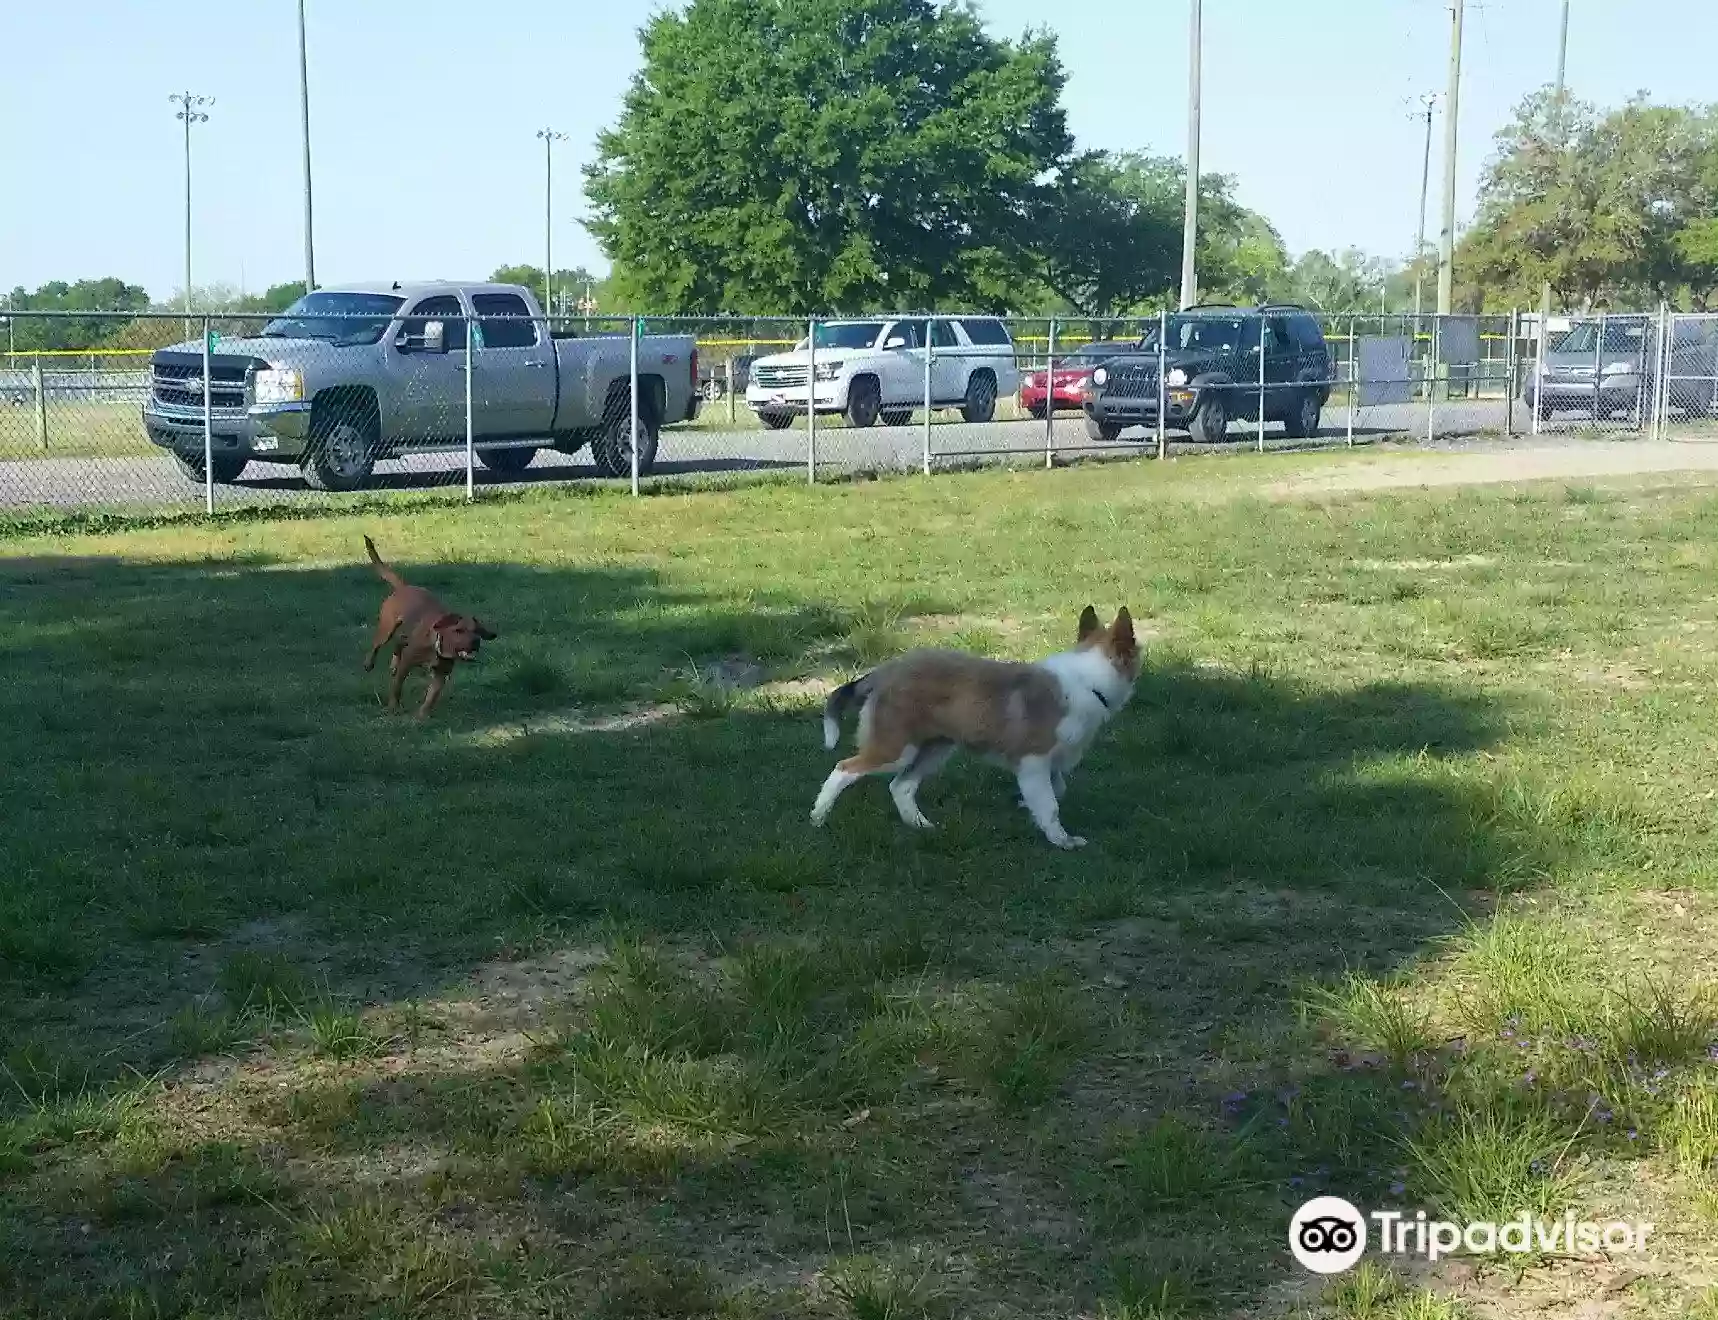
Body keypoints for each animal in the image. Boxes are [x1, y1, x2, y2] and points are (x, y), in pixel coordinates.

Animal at [360, 536, 498, 721]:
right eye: (459, 630)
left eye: (477, 632)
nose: (475, 642)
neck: (437, 647)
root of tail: (404, 587)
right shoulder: (407, 663)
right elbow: (397, 687)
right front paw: (393, 707)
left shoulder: (441, 675)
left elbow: (431, 697)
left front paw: (421, 716)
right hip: (386, 629)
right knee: (377, 645)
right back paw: (369, 663)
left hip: (404, 633)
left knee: (399, 643)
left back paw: (393, 663)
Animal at [807, 605, 1140, 852]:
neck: (1088, 681)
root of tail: (884, 671)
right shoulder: (1033, 761)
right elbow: (1050, 805)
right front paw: (1062, 841)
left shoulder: (1048, 764)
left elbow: (1056, 790)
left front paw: (1025, 806)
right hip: (896, 749)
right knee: (844, 768)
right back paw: (818, 817)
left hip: (935, 749)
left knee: (901, 786)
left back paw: (921, 826)